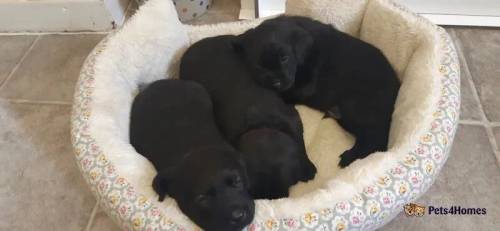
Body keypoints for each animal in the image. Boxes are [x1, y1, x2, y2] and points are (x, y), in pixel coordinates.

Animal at [235, 15, 402, 168]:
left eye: (284, 58)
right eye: (258, 65)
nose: (276, 83)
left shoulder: (303, 87)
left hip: (356, 106)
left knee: (376, 140)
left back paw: (349, 157)